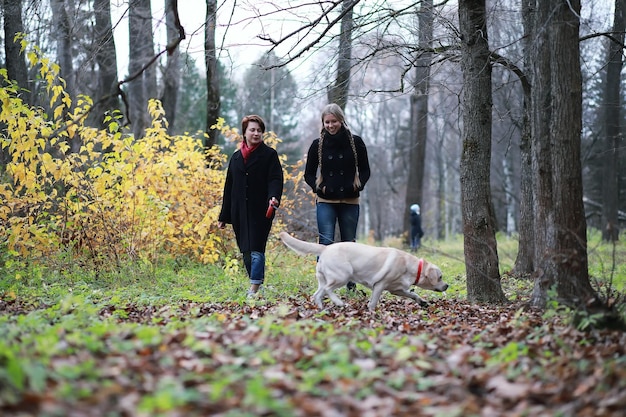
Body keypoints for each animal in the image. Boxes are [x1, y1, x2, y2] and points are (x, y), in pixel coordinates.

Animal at [276, 232, 444, 310]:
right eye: (440, 277)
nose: (447, 285)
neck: (411, 266)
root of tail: (325, 248)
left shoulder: (397, 289)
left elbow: (413, 294)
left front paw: (422, 302)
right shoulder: (380, 285)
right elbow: (373, 301)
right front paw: (371, 312)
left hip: (324, 280)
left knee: (317, 294)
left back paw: (322, 309)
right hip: (342, 276)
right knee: (329, 290)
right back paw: (339, 302)